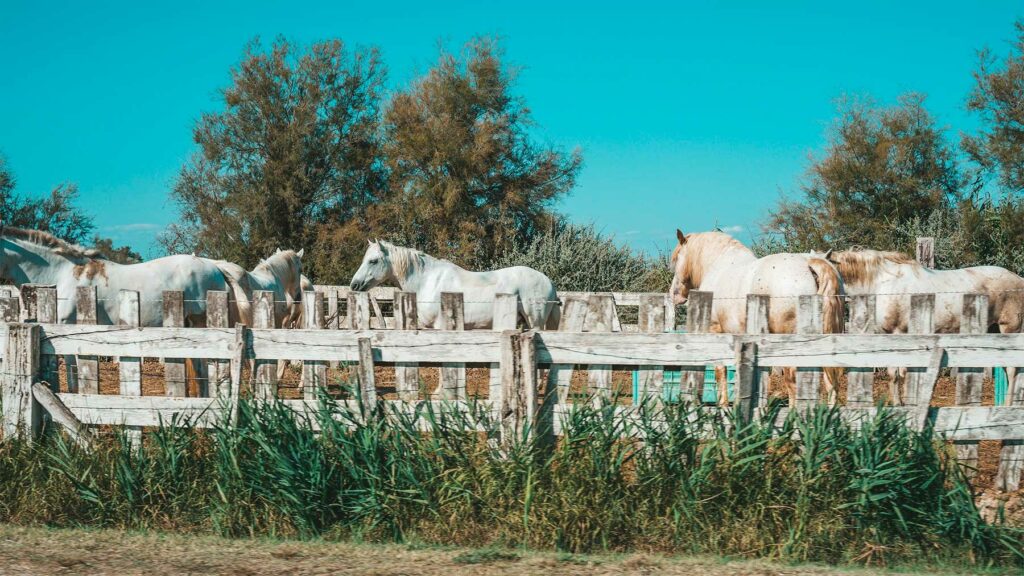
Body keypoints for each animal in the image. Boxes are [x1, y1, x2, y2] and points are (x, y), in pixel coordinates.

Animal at [667, 227, 843, 403]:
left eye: (676, 259)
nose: (674, 294)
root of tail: (809, 264)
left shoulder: (716, 331)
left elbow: (720, 372)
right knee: (830, 382)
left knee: (793, 383)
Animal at [819, 248, 1024, 403]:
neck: (882, 284)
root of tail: (1018, 279)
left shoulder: (897, 335)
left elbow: (896, 374)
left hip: (1010, 330)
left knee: (1013, 370)